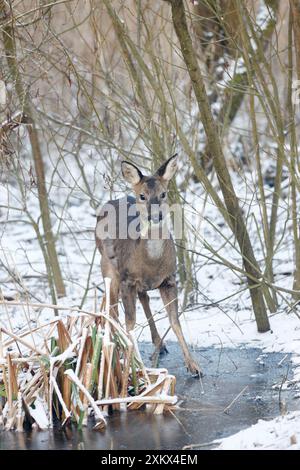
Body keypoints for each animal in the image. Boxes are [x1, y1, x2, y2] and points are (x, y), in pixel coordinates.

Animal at [95, 156, 200, 376]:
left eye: (163, 193)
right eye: (142, 196)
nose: (156, 216)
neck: (151, 263)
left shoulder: (169, 279)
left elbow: (175, 321)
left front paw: (194, 366)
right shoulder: (126, 279)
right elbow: (130, 323)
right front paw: (135, 365)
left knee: (144, 298)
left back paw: (159, 343)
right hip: (107, 266)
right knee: (112, 308)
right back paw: (116, 347)